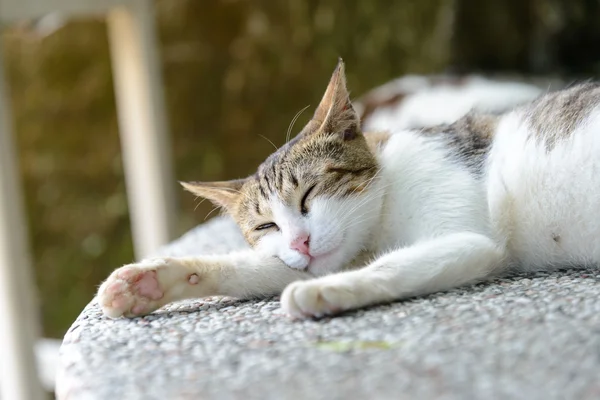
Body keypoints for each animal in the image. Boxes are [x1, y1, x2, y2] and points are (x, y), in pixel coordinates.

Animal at [97, 59, 600, 320]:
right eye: (266, 226)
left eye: (308, 194)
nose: (300, 241)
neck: (381, 215)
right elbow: (261, 267)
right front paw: (151, 280)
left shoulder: (470, 239)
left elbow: (391, 266)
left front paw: (326, 291)